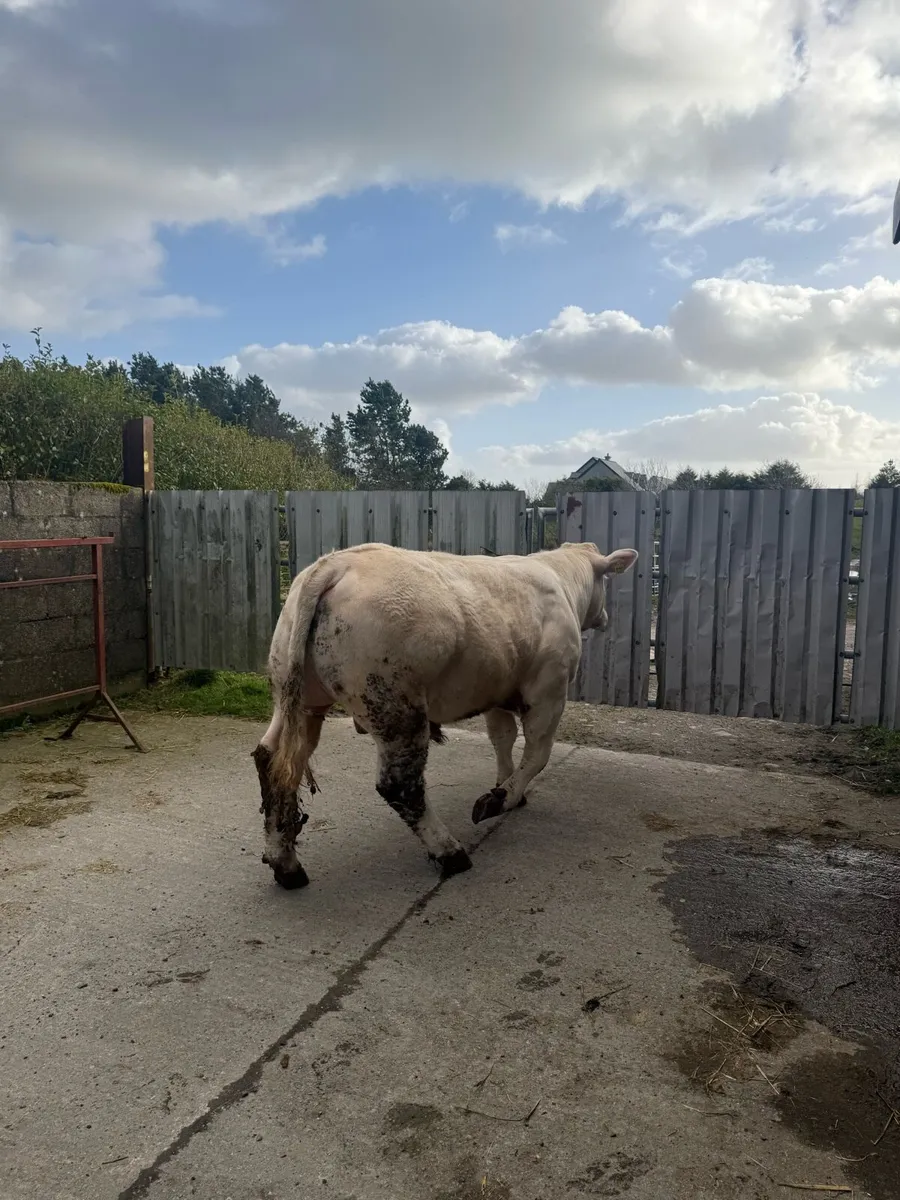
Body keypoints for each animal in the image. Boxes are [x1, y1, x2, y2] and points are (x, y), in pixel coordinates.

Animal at [252, 540, 638, 889]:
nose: (605, 618)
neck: (560, 578)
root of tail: (335, 564)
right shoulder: (548, 692)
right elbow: (537, 754)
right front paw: (501, 799)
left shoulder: (496, 692)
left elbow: (503, 740)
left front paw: (505, 786)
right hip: (397, 711)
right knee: (401, 786)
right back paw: (450, 853)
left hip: (298, 700)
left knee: (273, 762)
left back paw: (285, 864)